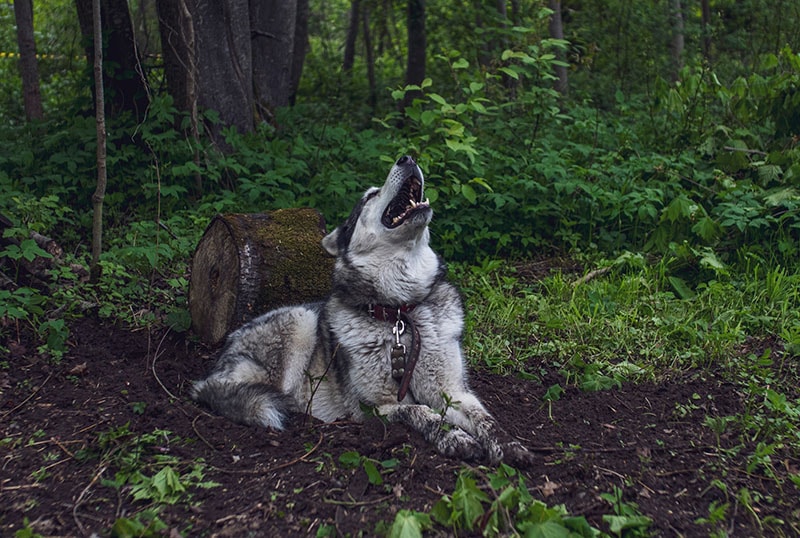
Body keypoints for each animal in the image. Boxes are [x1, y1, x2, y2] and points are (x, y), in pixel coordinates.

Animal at [191, 155, 536, 464]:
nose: (408, 157)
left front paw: (509, 446)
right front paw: (454, 438)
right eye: (370, 195)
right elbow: (421, 412)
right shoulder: (376, 406)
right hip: (300, 321)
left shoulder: (454, 392)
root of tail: (216, 367)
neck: (400, 312)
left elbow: (486, 419)